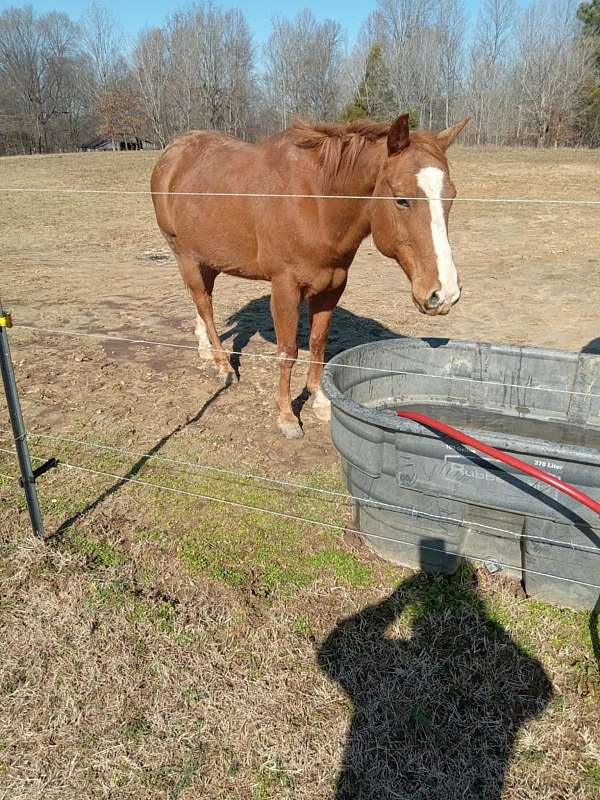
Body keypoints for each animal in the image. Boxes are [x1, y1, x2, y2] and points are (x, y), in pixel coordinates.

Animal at [150, 112, 468, 438]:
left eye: (451, 197)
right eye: (402, 199)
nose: (444, 293)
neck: (316, 203)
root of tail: (173, 153)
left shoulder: (332, 287)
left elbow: (317, 343)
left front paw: (321, 401)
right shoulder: (285, 288)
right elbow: (288, 350)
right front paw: (287, 416)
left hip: (208, 258)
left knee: (203, 300)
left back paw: (205, 349)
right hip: (184, 255)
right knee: (204, 304)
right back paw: (224, 366)